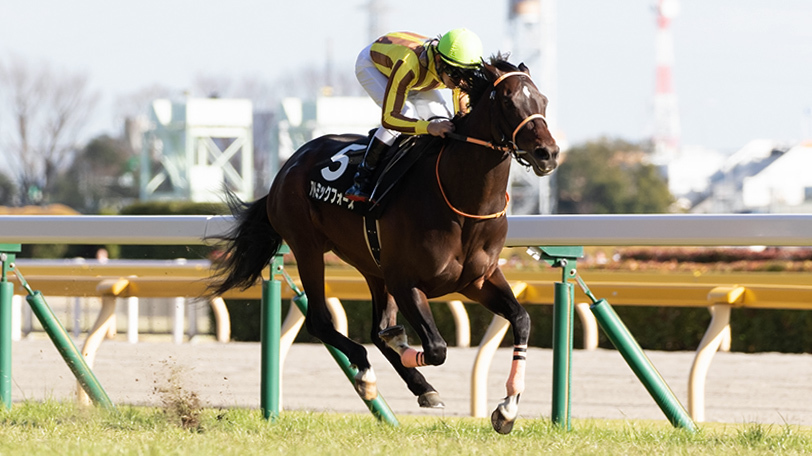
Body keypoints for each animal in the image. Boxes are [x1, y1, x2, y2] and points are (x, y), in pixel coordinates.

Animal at [211, 56, 559, 434]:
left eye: (543, 101)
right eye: (508, 101)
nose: (548, 153)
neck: (462, 202)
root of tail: (288, 166)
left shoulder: (479, 280)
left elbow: (522, 319)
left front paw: (507, 409)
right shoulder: (406, 282)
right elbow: (436, 348)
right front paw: (405, 352)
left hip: (372, 266)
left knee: (375, 329)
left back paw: (417, 383)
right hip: (308, 248)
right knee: (322, 322)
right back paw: (368, 374)